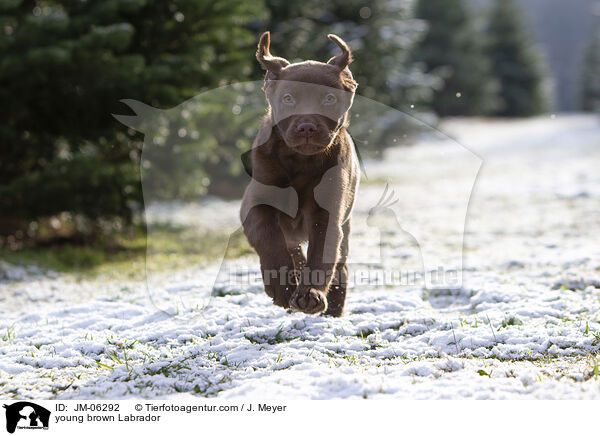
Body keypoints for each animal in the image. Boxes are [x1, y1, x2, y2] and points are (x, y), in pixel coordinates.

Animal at [240, 31, 358, 316]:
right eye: (288, 99)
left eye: (329, 99)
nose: (306, 127)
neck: (300, 162)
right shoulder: (254, 205)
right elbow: (270, 239)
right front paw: (283, 289)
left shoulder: (328, 214)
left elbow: (322, 254)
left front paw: (310, 295)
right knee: (292, 248)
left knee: (339, 265)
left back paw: (333, 310)